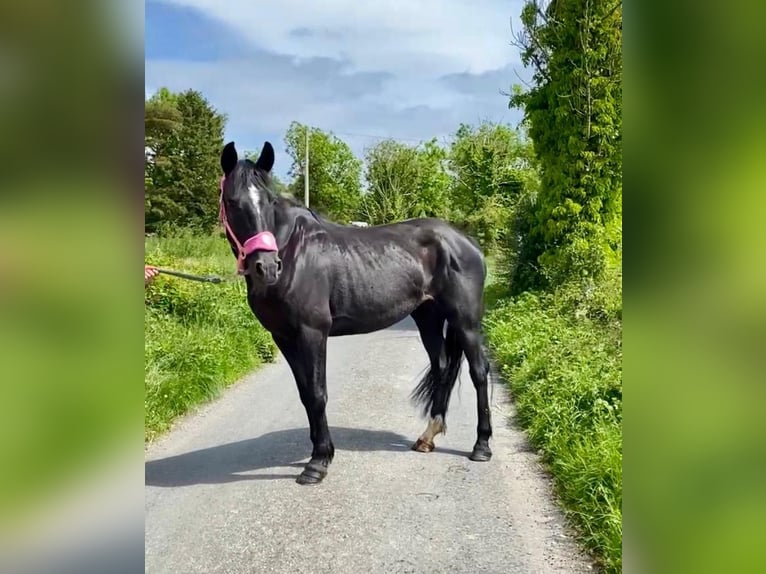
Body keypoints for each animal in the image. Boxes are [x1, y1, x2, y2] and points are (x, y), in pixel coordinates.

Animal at [219, 141, 496, 486]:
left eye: (269, 201)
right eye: (232, 201)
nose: (267, 267)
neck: (294, 252)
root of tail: (466, 242)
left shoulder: (312, 333)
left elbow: (318, 393)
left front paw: (318, 462)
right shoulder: (283, 337)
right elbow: (305, 393)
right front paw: (318, 451)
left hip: (465, 321)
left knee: (479, 372)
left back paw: (481, 446)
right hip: (429, 318)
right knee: (443, 367)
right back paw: (427, 437)